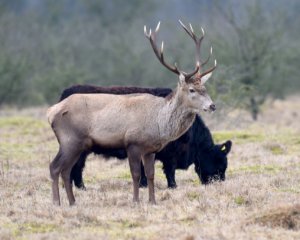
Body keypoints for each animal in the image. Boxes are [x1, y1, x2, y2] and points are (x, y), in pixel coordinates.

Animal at [59, 85, 232, 188]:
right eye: (220, 163)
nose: (221, 183)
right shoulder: (169, 155)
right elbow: (169, 171)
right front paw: (172, 186)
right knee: (76, 167)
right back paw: (81, 187)